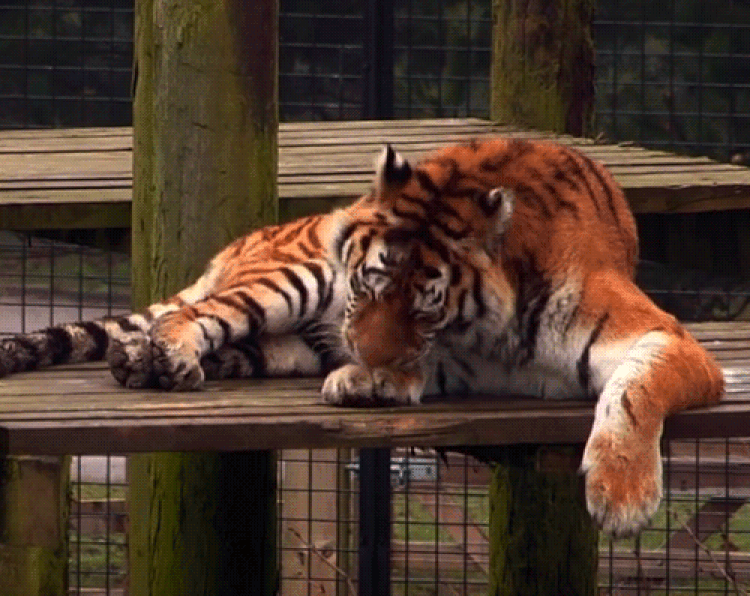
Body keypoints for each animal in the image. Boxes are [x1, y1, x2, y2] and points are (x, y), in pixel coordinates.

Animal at [0, 138, 724, 537]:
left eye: (427, 307)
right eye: (369, 285)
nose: (361, 353)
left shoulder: (666, 338)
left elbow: (632, 391)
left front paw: (621, 496)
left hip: (285, 343)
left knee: (225, 342)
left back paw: (141, 362)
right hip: (287, 279)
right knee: (194, 314)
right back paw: (168, 355)